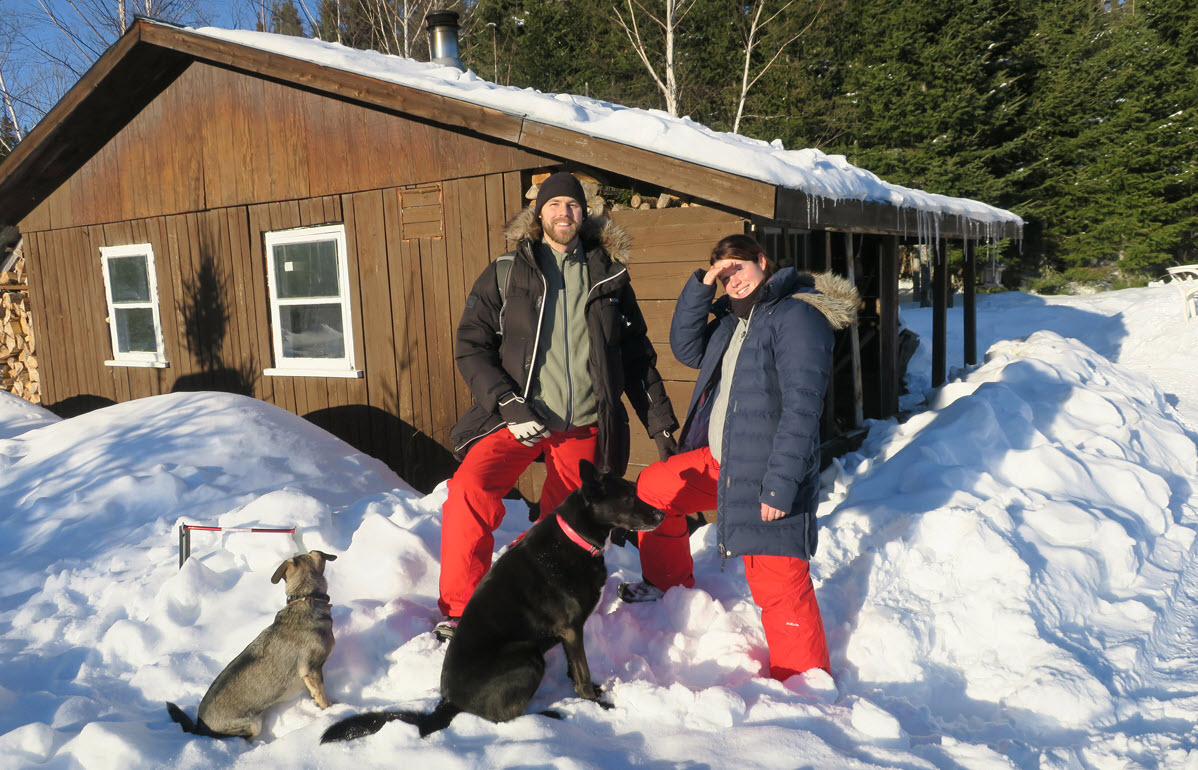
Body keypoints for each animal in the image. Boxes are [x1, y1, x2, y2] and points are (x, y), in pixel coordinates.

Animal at [167, 548, 337, 742]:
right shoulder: (312, 668)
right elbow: (321, 696)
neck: (305, 597)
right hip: (252, 725)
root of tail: (199, 726)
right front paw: (331, 709)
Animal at [321, 459, 666, 742]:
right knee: (503, 718)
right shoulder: (570, 629)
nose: (662, 514)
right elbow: (580, 673)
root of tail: (448, 703)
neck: (576, 539)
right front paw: (595, 704)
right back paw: (550, 716)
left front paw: (593, 690)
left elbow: (574, 668)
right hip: (528, 656)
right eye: (627, 497)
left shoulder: (571, 632)